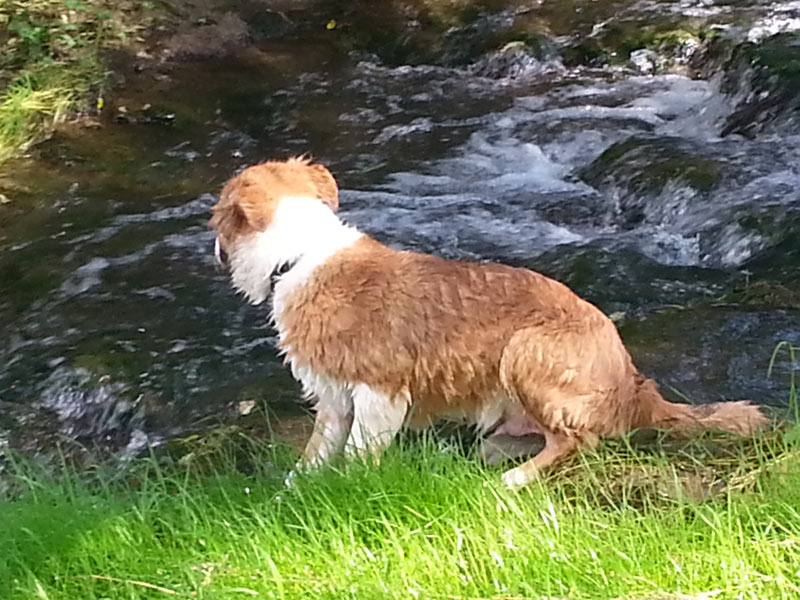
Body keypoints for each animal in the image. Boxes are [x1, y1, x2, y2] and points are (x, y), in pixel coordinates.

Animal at [211, 156, 768, 488]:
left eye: (216, 217)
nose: (212, 249)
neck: (300, 257)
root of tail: (635, 388)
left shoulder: (379, 393)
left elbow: (357, 456)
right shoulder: (332, 398)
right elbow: (314, 457)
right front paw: (291, 493)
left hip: (524, 351)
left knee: (577, 442)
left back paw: (515, 480)